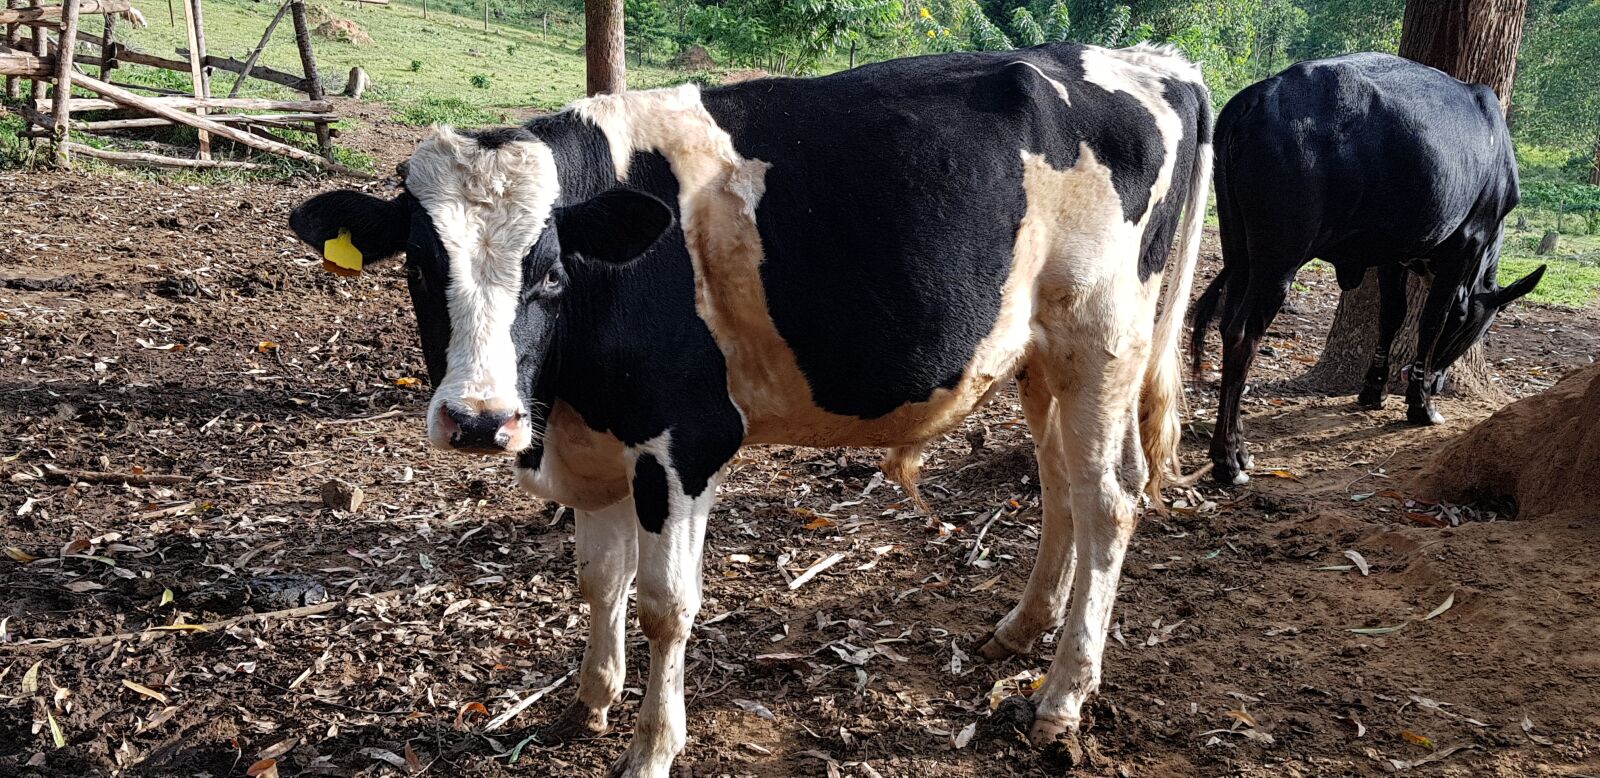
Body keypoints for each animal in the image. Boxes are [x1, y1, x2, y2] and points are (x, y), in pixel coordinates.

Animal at [288, 43, 1213, 776]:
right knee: (1061, 488)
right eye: (417, 267)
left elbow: (665, 605)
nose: (481, 420)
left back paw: (1062, 698)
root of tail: (1149, 59)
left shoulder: (684, 445)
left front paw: (651, 748)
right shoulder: (599, 442)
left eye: (549, 273)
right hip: (1039, 362)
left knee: (1108, 503)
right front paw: (588, 702)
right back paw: (1022, 631)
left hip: (1102, 343)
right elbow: (598, 579)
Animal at [1190, 53, 1544, 485]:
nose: (1440, 382)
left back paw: (1236, 448)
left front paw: (1373, 389)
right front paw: (1421, 405)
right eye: (1474, 327)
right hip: (1278, 260)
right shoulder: (1464, 246)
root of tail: (1259, 95)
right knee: (1243, 334)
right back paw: (1229, 459)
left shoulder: (1392, 254)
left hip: (1238, 250)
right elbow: (1431, 321)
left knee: (1227, 326)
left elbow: (1391, 315)